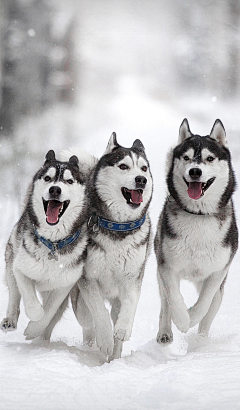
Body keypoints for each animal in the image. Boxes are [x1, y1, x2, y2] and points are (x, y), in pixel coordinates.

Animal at [0, 151, 88, 340]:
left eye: (69, 181)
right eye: (48, 178)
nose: (55, 189)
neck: (53, 243)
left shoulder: (65, 284)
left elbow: (49, 311)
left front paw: (34, 329)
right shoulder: (21, 269)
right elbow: (33, 305)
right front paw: (34, 317)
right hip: (11, 261)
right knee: (14, 294)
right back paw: (10, 320)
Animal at [68, 134, 153, 358]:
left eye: (143, 168)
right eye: (123, 166)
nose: (141, 180)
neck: (117, 228)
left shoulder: (133, 277)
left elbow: (130, 304)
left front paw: (122, 329)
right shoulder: (88, 278)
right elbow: (98, 310)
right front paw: (105, 338)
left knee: (115, 314)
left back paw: (114, 356)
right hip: (80, 302)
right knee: (88, 321)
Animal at [155, 118, 237, 342]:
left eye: (209, 158)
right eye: (186, 157)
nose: (195, 171)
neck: (199, 216)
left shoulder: (218, 271)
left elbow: (204, 303)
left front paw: (192, 316)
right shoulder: (167, 266)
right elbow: (173, 298)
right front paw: (183, 320)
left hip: (219, 286)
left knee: (211, 309)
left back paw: (201, 339)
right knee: (165, 303)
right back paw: (165, 332)